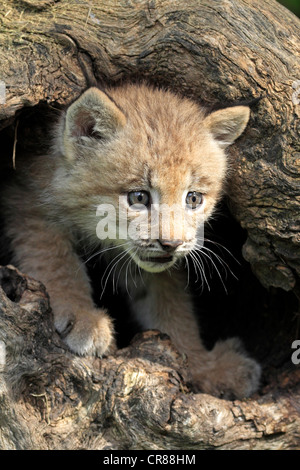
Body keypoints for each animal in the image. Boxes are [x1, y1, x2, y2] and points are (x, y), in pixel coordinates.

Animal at [1, 83, 260, 396]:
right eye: (138, 197)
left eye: (193, 199)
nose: (172, 244)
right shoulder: (26, 201)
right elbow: (56, 262)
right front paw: (81, 314)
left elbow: (171, 306)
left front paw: (203, 365)